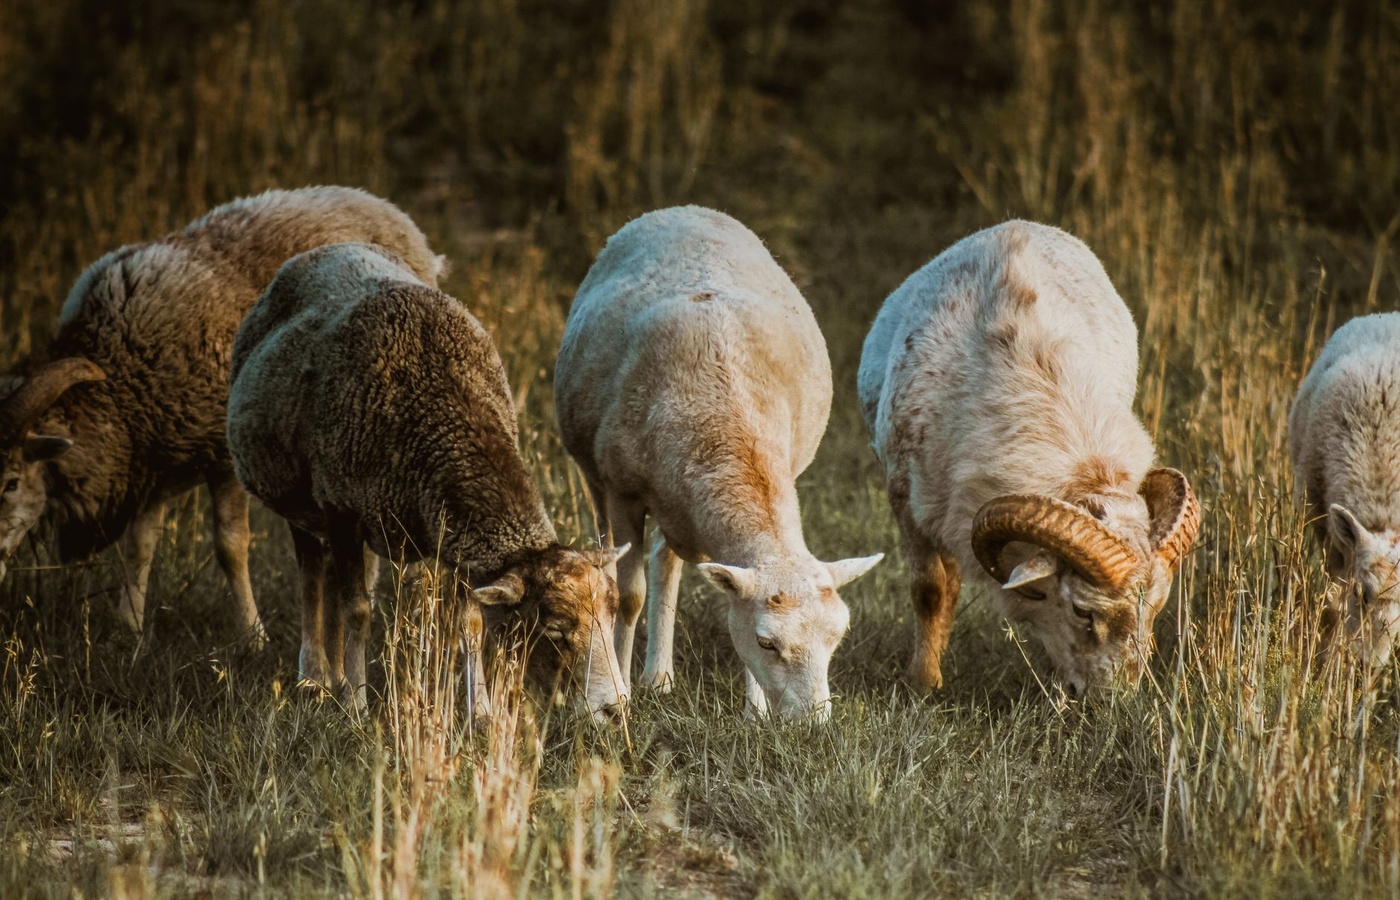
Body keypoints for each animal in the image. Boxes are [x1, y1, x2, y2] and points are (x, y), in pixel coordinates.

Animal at [0, 186, 443, 646]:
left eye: (11, 482)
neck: (117, 378)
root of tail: (378, 204)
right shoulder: (156, 459)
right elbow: (141, 545)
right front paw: (131, 627)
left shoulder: (222, 455)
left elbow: (230, 546)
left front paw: (253, 635)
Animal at [227, 242, 628, 720]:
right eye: (553, 629)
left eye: (613, 614)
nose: (615, 708)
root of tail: (329, 247)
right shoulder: (342, 510)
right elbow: (357, 608)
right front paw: (357, 704)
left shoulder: (458, 537)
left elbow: (469, 623)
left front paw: (480, 711)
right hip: (300, 497)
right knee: (311, 576)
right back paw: (315, 676)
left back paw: (334, 673)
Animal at [555, 206, 883, 722]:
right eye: (768, 643)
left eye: (838, 637)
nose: (813, 723)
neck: (726, 431)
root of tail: (685, 210)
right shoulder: (624, 491)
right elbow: (628, 597)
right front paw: (620, 693)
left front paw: (755, 714)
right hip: (597, 478)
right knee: (614, 566)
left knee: (665, 561)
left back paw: (660, 677)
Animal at [858, 220, 1200, 697]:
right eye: (1081, 611)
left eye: (1156, 608)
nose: (1112, 701)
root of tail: (1016, 226)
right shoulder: (907, 501)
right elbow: (929, 591)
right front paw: (924, 684)